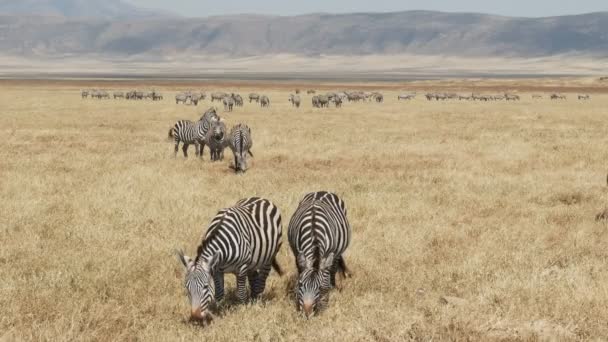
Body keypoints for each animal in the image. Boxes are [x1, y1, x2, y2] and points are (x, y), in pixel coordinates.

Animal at [173, 196, 282, 324]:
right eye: (187, 288)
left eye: (205, 287)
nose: (195, 316)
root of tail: (260, 198)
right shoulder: (216, 270)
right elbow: (219, 293)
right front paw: (219, 311)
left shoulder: (242, 268)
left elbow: (240, 293)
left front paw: (242, 310)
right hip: (253, 262)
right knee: (254, 276)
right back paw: (253, 298)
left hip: (269, 257)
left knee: (262, 279)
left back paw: (257, 300)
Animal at [288, 191, 352, 320]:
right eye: (300, 285)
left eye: (320, 288)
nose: (307, 314)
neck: (314, 234)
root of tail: (322, 191)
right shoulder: (297, 253)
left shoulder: (329, 253)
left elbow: (327, 276)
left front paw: (324, 303)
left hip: (337, 253)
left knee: (333, 269)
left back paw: (333, 286)